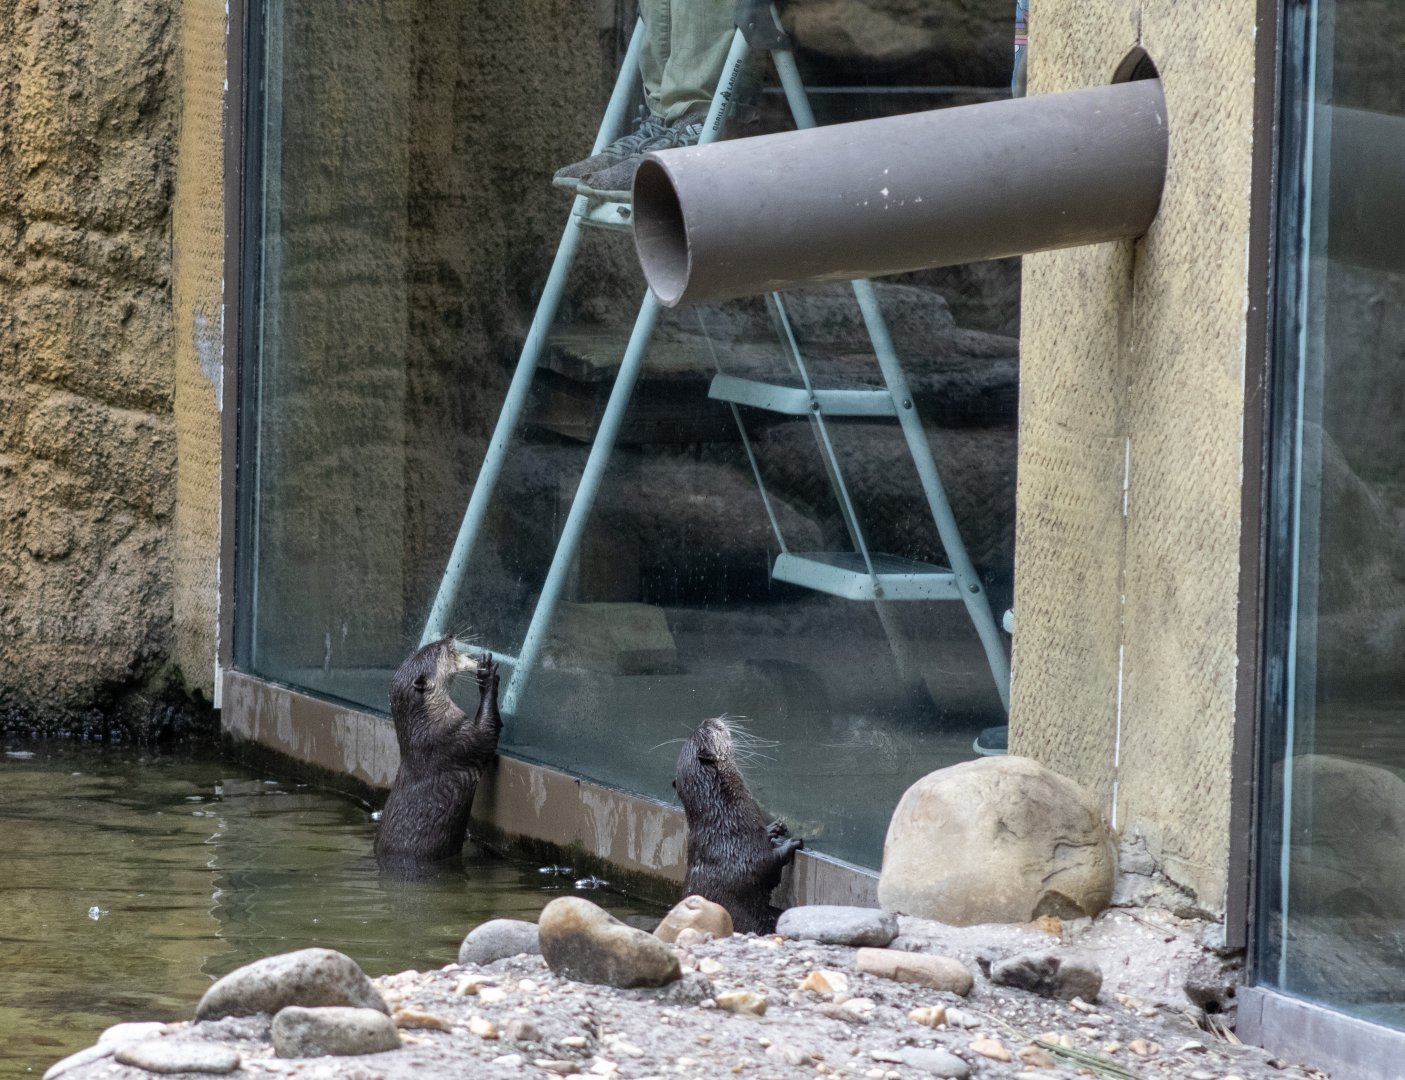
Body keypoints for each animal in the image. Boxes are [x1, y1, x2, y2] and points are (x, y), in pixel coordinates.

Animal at [374, 638, 501, 864]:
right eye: (438, 649)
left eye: (432, 645)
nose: (449, 636)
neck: (429, 727)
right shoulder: (460, 738)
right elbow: (487, 734)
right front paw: (487, 676)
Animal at [674, 715, 803, 934]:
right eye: (710, 729)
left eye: (704, 727)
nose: (707, 719)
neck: (726, 823)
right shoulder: (747, 859)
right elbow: (770, 867)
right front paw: (790, 843)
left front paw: (773, 830)